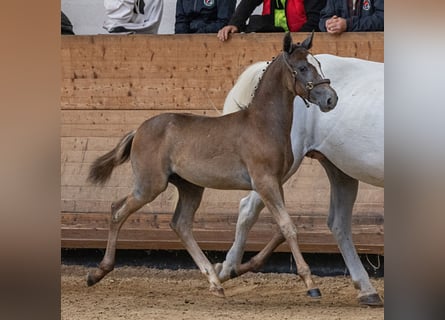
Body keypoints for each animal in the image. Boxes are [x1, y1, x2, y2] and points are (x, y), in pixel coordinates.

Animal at [86, 32, 336, 298]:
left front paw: (234, 269)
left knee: (180, 224)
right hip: (150, 185)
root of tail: (139, 130)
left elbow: (280, 229)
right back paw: (98, 272)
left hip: (190, 187)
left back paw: (214, 281)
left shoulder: (275, 182)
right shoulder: (264, 181)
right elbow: (287, 227)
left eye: (319, 64)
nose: (331, 98)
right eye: (303, 68)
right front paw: (310, 284)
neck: (263, 124)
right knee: (117, 210)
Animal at [213, 53, 384, 306]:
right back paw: (226, 270)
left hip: (340, 171)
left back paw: (367, 290)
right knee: (247, 208)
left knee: (339, 223)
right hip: (277, 169)